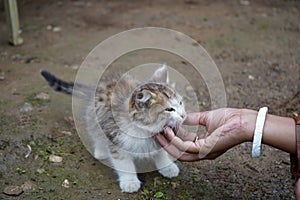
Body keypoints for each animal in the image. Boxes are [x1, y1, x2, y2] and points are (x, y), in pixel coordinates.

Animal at [39, 65, 185, 193]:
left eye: (181, 103)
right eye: (169, 109)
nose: (184, 115)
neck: (143, 131)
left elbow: (160, 152)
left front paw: (167, 166)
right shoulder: (115, 138)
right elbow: (123, 163)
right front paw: (129, 182)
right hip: (95, 118)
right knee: (96, 133)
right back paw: (100, 151)